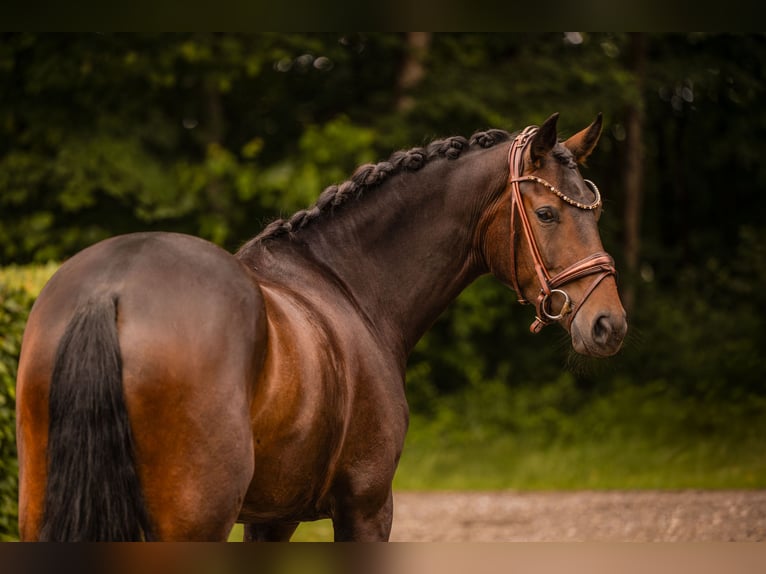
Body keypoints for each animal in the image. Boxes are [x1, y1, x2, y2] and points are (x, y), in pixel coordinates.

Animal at [15, 113, 627, 541]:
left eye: (595, 213)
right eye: (547, 213)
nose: (609, 324)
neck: (348, 284)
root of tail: (111, 289)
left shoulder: (270, 518)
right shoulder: (367, 506)